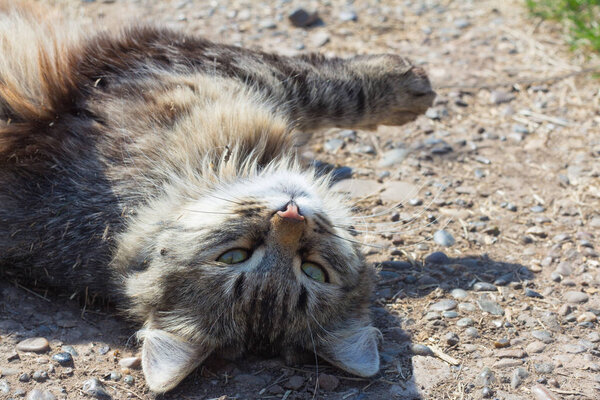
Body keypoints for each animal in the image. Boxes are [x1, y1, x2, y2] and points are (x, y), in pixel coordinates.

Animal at [0, 0, 432, 394]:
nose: (291, 214)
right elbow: (322, 85)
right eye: (234, 256)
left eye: (313, 270)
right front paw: (406, 86)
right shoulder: (183, 58)